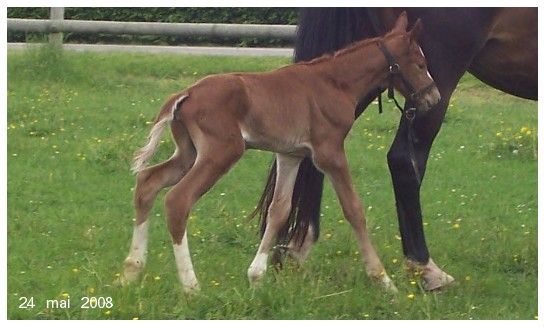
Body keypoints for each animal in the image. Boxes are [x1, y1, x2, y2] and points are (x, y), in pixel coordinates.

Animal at [121, 12, 440, 294]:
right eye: (421, 63)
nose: (433, 97)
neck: (334, 82)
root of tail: (185, 94)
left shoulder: (290, 155)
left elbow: (279, 210)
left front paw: (256, 275)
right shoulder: (330, 153)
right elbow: (354, 209)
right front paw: (384, 281)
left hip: (188, 153)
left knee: (148, 182)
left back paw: (132, 271)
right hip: (222, 151)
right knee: (178, 200)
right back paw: (191, 287)